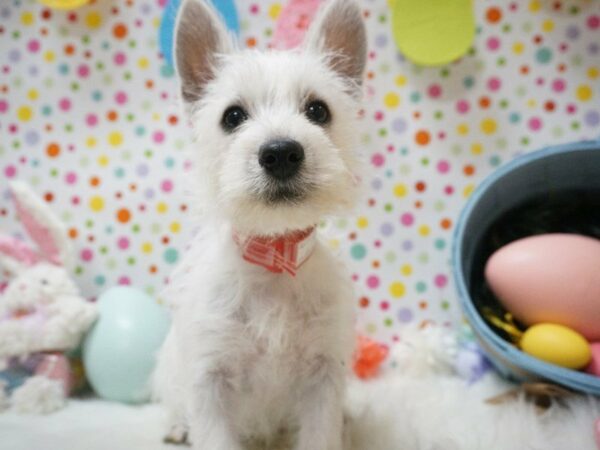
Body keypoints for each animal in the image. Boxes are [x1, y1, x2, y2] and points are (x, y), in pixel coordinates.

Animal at [155, 0, 368, 446]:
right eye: (233, 116)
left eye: (318, 110)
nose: (281, 152)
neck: (273, 261)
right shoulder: (210, 378)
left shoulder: (324, 376)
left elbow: (321, 435)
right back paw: (177, 426)